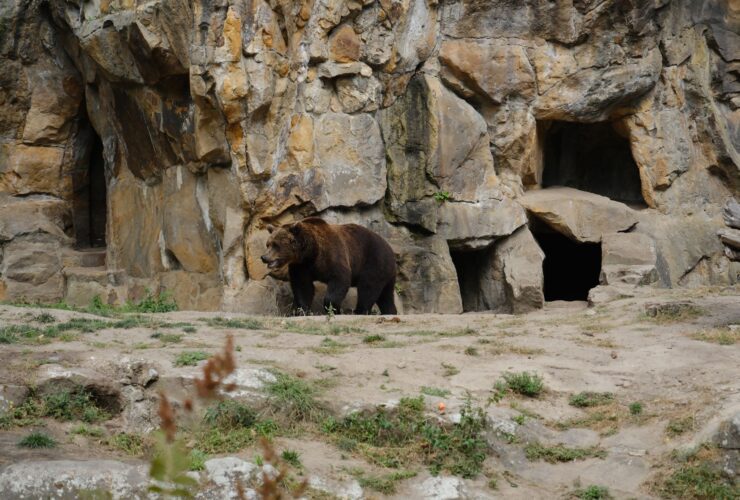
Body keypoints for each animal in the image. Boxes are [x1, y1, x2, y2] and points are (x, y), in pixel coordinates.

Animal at [260, 217, 397, 315]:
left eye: (276, 245)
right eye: (268, 244)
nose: (264, 257)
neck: (310, 252)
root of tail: (390, 249)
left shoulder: (333, 255)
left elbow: (340, 280)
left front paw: (334, 309)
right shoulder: (301, 266)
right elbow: (302, 287)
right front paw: (302, 310)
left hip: (374, 261)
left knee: (368, 287)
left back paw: (360, 310)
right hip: (386, 273)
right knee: (386, 295)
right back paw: (390, 311)